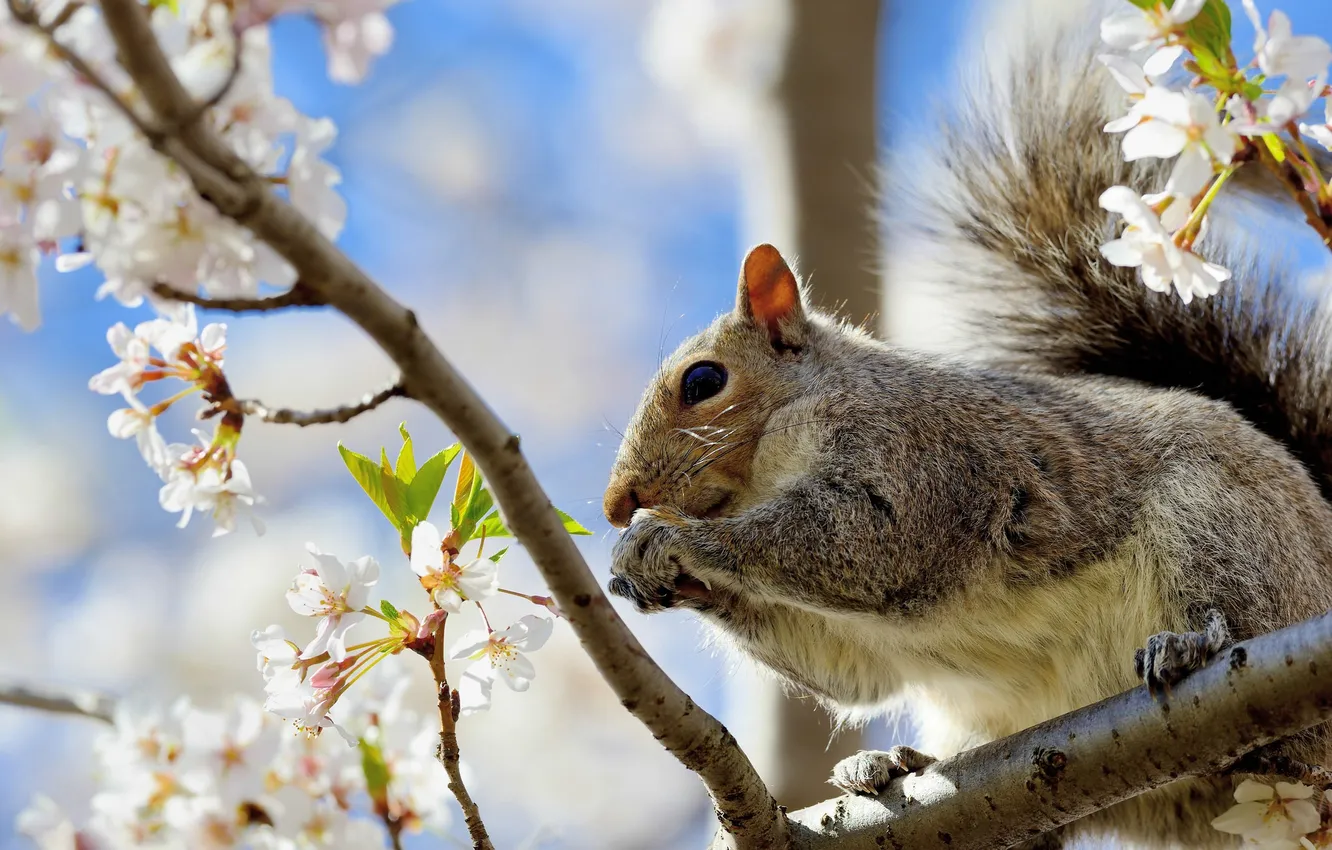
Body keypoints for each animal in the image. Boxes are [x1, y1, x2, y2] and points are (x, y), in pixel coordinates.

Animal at [602, 0, 1332, 847]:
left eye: (703, 381)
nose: (615, 503)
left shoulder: (921, 458)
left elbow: (868, 544)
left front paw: (675, 541)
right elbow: (850, 670)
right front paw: (640, 567)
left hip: (1221, 529)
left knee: (1254, 652)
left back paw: (1192, 648)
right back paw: (891, 764)